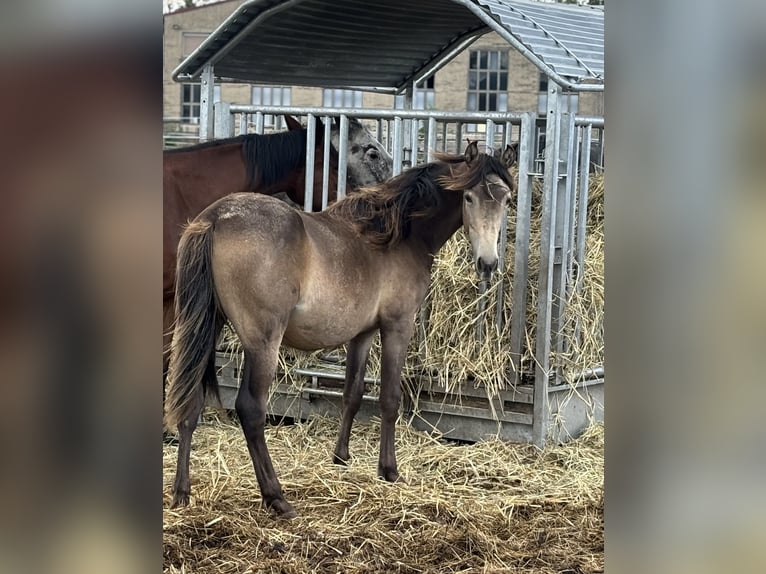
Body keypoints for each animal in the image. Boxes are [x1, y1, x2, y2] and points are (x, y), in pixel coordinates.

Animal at [166, 142, 516, 520]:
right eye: (468, 197)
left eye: (506, 198)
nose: (488, 263)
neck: (394, 235)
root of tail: (216, 218)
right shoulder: (397, 326)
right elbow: (389, 398)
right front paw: (389, 470)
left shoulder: (362, 334)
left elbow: (353, 393)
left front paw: (341, 457)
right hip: (263, 343)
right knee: (250, 410)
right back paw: (277, 497)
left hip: (205, 328)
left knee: (190, 402)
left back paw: (181, 492)